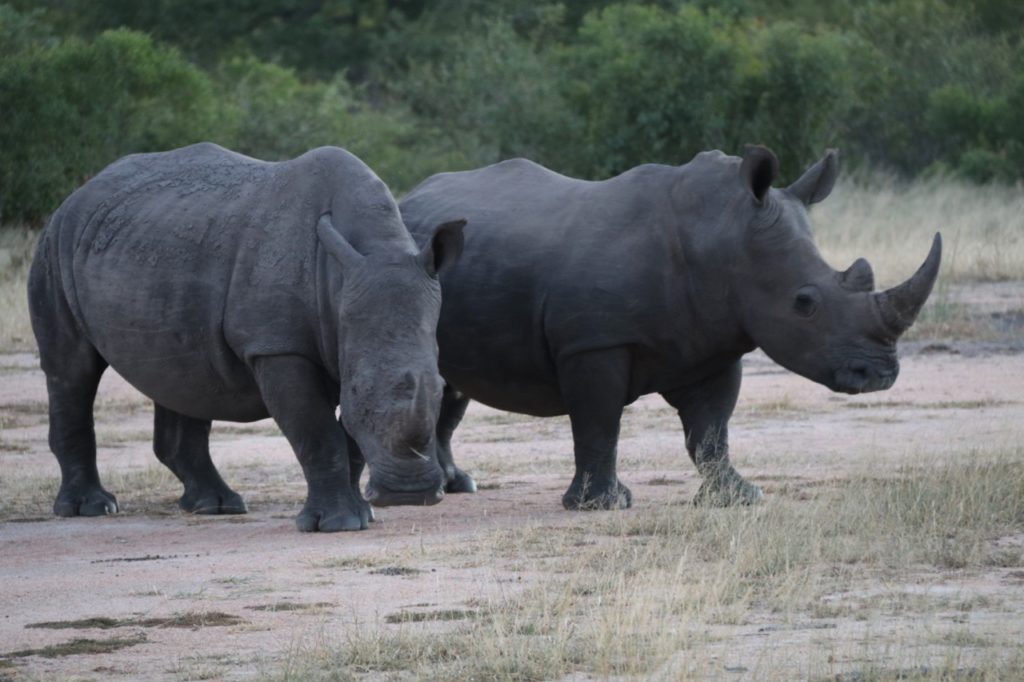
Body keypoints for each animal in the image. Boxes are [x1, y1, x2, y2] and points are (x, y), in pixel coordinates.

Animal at [27, 140, 468, 528]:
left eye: (439, 388)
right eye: (359, 391)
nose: (410, 494)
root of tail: (79, 193)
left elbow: (349, 442)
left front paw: (362, 513)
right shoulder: (275, 346)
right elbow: (318, 432)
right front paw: (337, 523)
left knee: (183, 375)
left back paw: (215, 506)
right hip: (55, 245)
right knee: (73, 371)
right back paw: (91, 509)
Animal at [395, 146, 937, 507]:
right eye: (804, 303)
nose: (880, 375)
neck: (722, 234)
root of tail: (408, 197)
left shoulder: (716, 342)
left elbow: (712, 431)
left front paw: (739, 496)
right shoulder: (593, 344)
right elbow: (598, 423)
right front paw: (601, 505)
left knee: (450, 386)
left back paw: (457, 485)